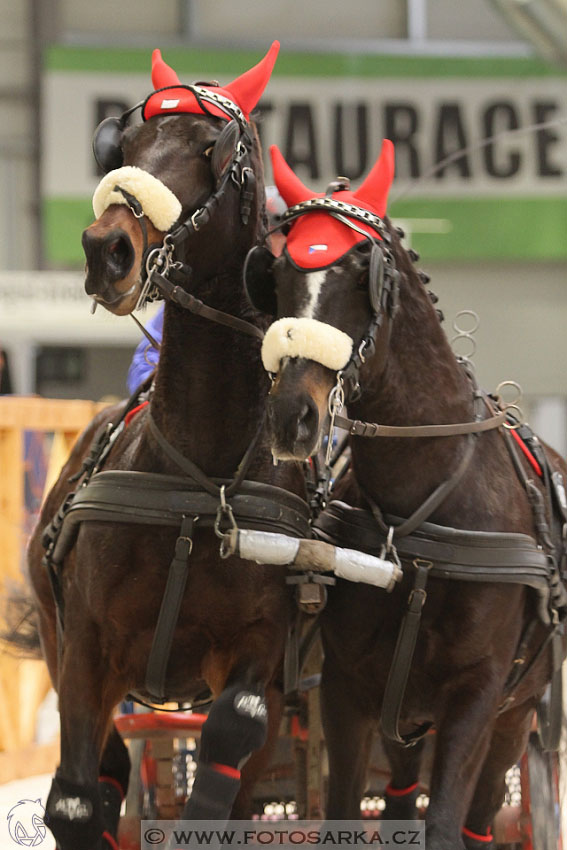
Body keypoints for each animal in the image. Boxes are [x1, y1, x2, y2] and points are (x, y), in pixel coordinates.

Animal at [25, 46, 316, 848]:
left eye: (212, 149)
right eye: (119, 146)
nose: (106, 249)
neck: (201, 479)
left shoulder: (260, 659)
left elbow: (229, 748)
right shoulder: (86, 646)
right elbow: (73, 799)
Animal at [245, 142, 567, 848]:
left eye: (358, 271)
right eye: (277, 271)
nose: (290, 418)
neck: (421, 516)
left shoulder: (476, 698)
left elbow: (445, 823)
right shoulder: (347, 689)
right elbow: (343, 810)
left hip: (516, 714)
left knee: (480, 815)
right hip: (405, 720)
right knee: (396, 794)